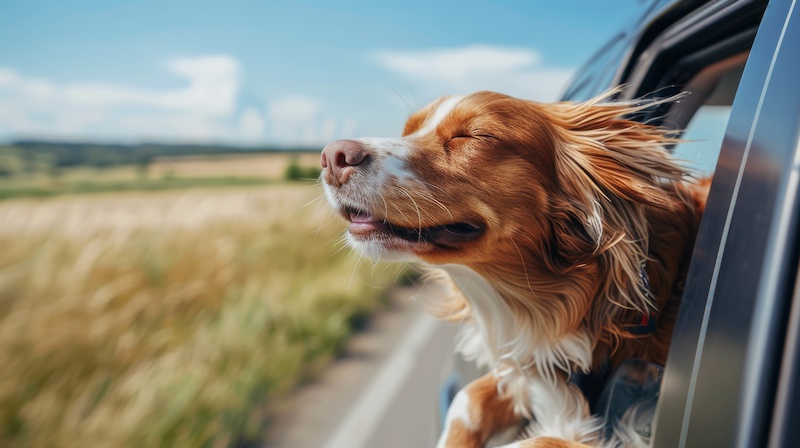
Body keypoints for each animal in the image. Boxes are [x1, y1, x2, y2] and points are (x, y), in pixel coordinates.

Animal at [318, 89, 708, 446]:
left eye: (472, 135)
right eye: (408, 130)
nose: (332, 156)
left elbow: (545, 439)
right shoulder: (528, 363)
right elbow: (468, 399)